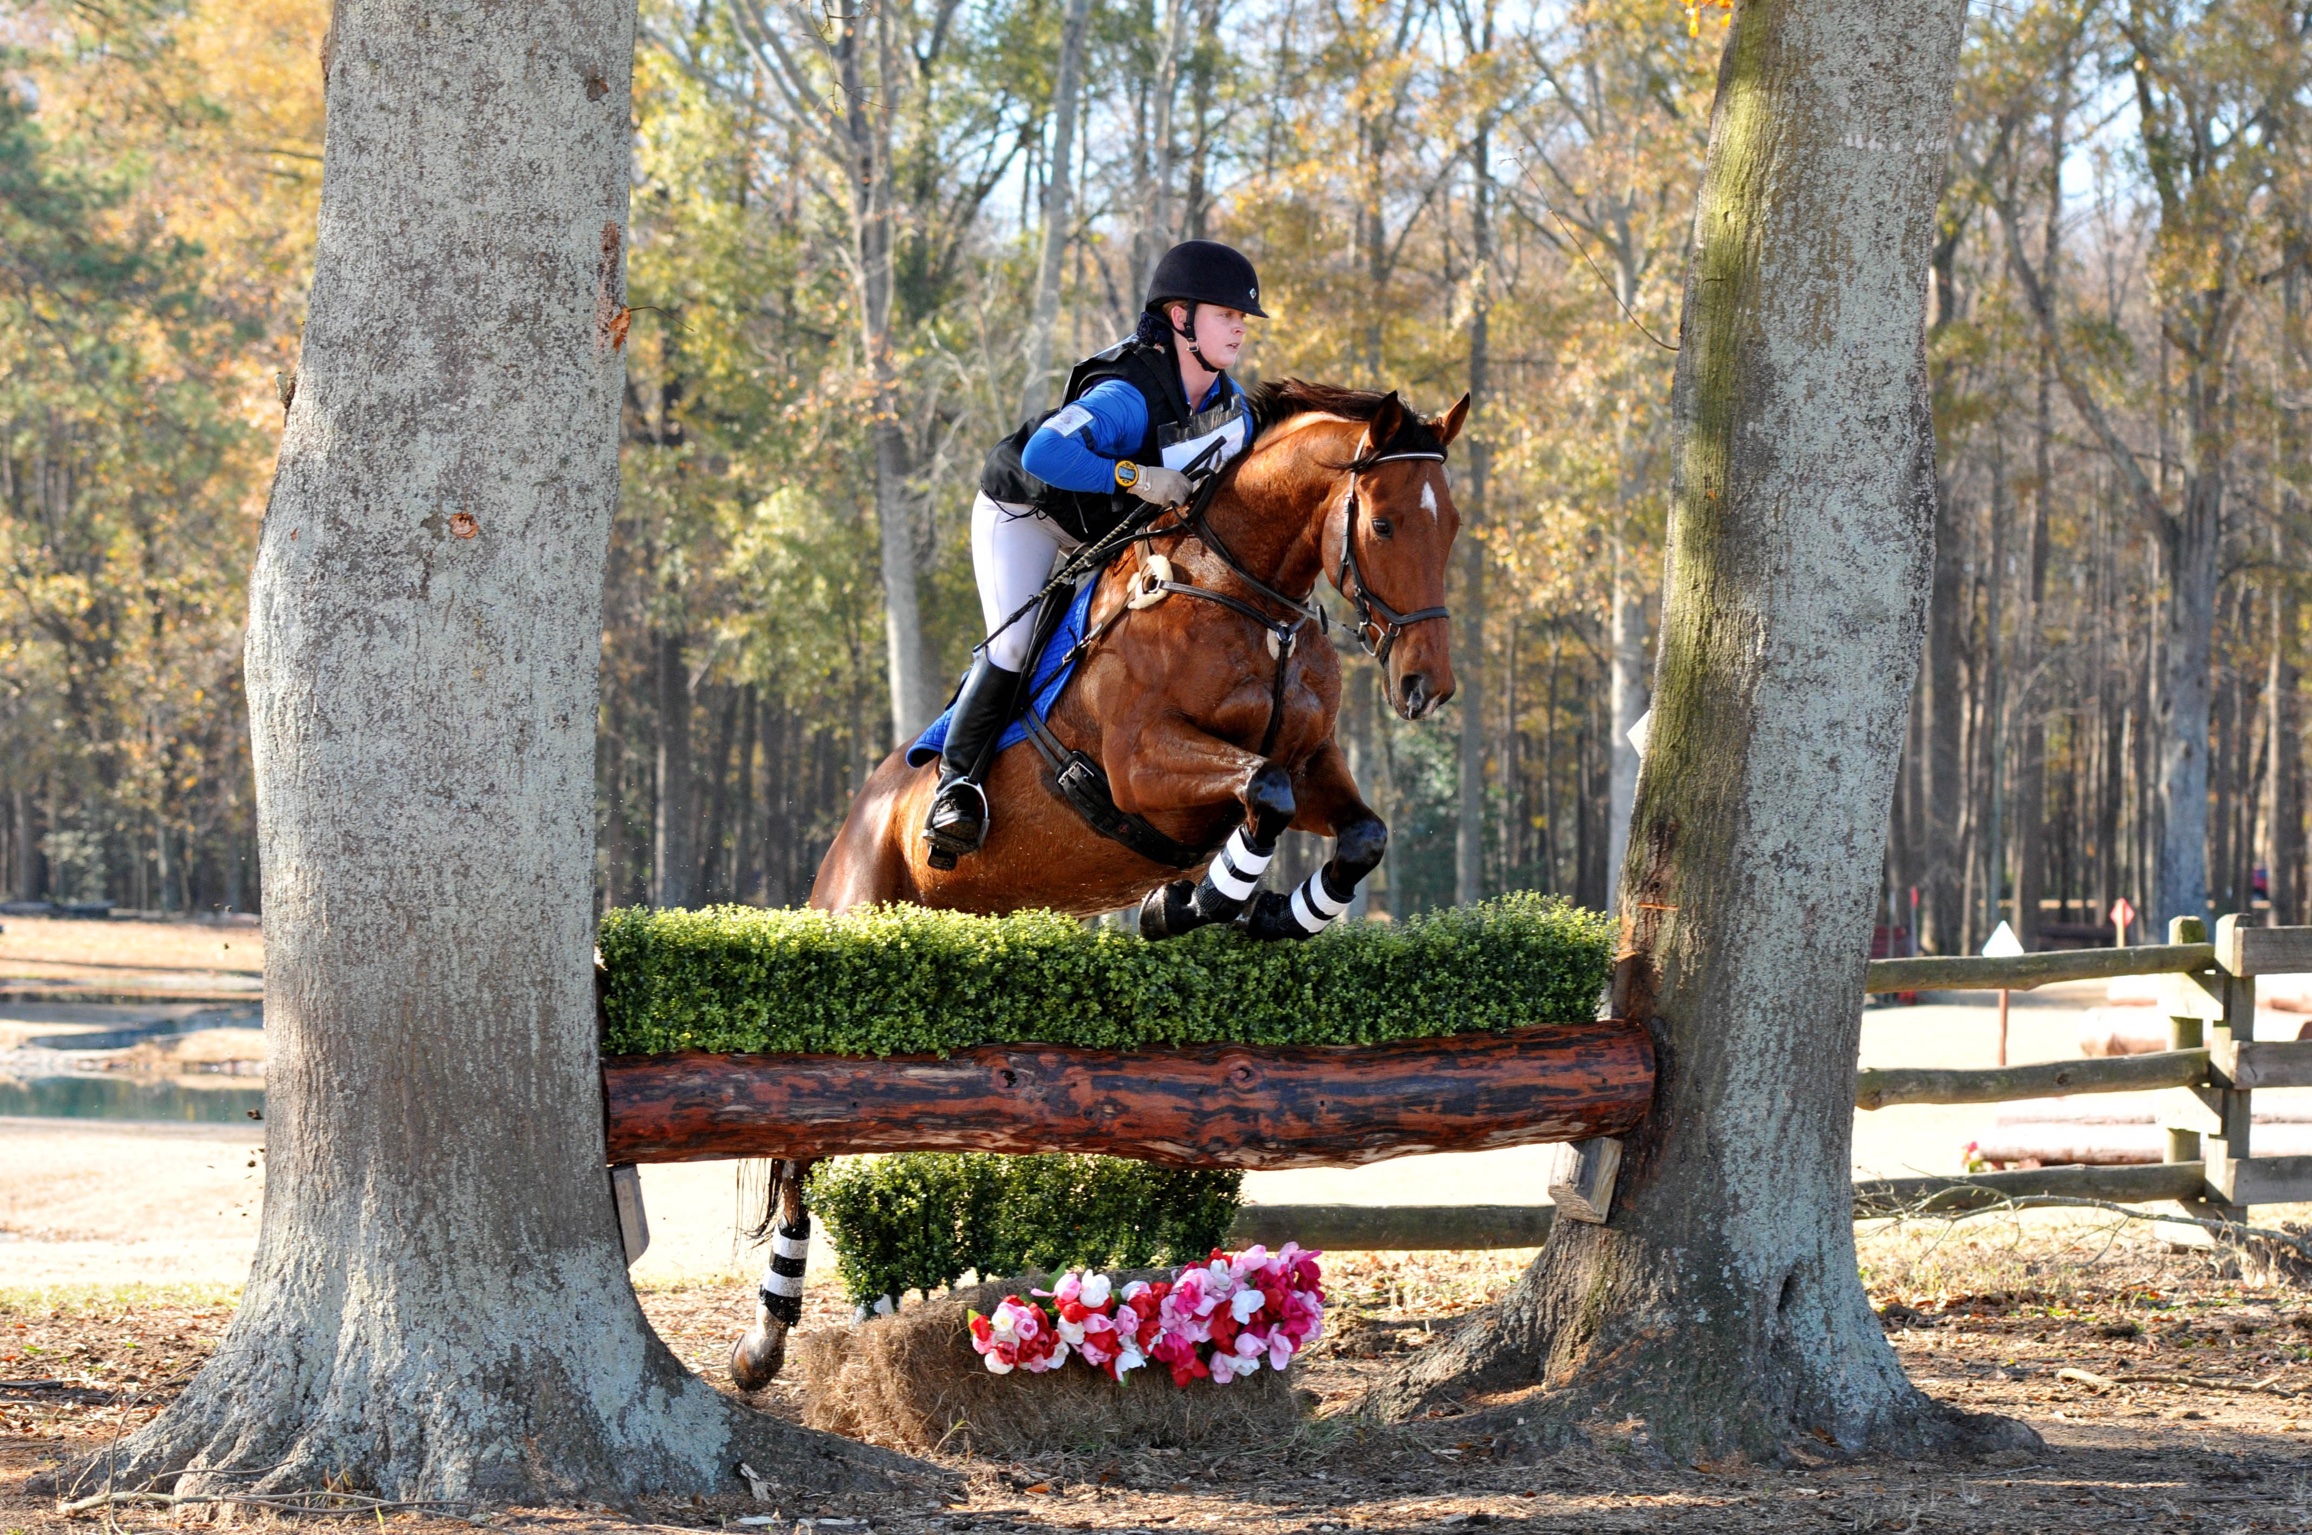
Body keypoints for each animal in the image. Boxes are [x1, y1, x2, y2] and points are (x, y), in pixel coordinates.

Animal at [809, 383, 1461, 933]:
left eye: (1452, 526)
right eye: (1382, 525)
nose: (1427, 685)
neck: (1254, 607)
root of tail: (854, 823)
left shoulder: (1310, 757)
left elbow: (1363, 835)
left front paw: (1271, 916)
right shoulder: (1139, 762)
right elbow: (1265, 787)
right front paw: (1193, 903)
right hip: (855, 902)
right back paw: (954, 810)